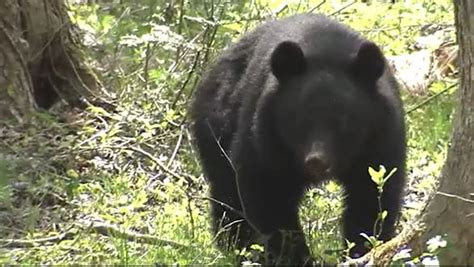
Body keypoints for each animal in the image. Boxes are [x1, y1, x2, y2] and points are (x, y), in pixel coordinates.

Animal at [191, 13, 406, 266]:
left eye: (343, 122)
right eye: (301, 121)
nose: (316, 161)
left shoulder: (379, 139)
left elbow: (372, 195)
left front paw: (362, 250)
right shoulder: (265, 136)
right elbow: (268, 191)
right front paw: (294, 256)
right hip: (217, 122)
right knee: (226, 188)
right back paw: (235, 244)